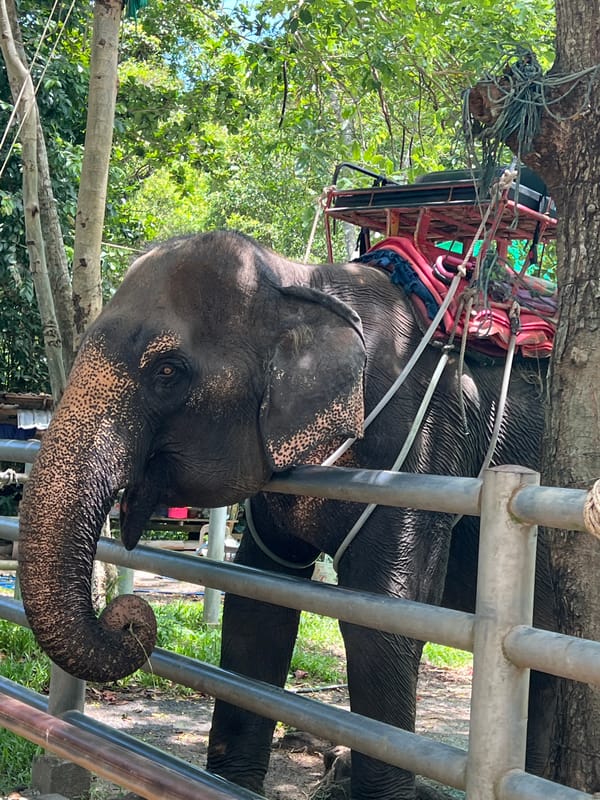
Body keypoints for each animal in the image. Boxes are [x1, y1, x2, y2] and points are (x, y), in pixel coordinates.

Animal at [18, 229, 555, 800]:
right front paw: (230, 785)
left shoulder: (424, 450)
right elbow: (260, 603)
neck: (300, 280)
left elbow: (386, 619)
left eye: (167, 371)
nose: (128, 617)